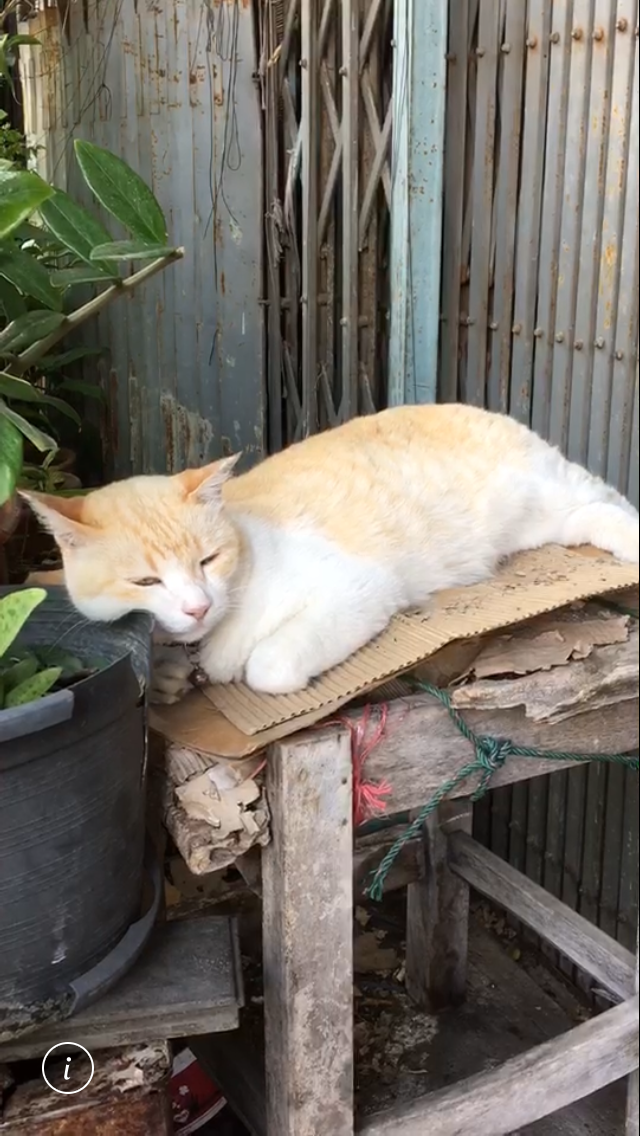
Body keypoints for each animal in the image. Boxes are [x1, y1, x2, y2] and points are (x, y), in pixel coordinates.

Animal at [22, 403, 639, 702]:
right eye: (146, 583)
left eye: (207, 561)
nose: (197, 606)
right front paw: (172, 677)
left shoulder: (357, 588)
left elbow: (267, 664)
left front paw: (274, 675)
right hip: (541, 522)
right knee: (588, 515)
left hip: (547, 487)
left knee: (609, 501)